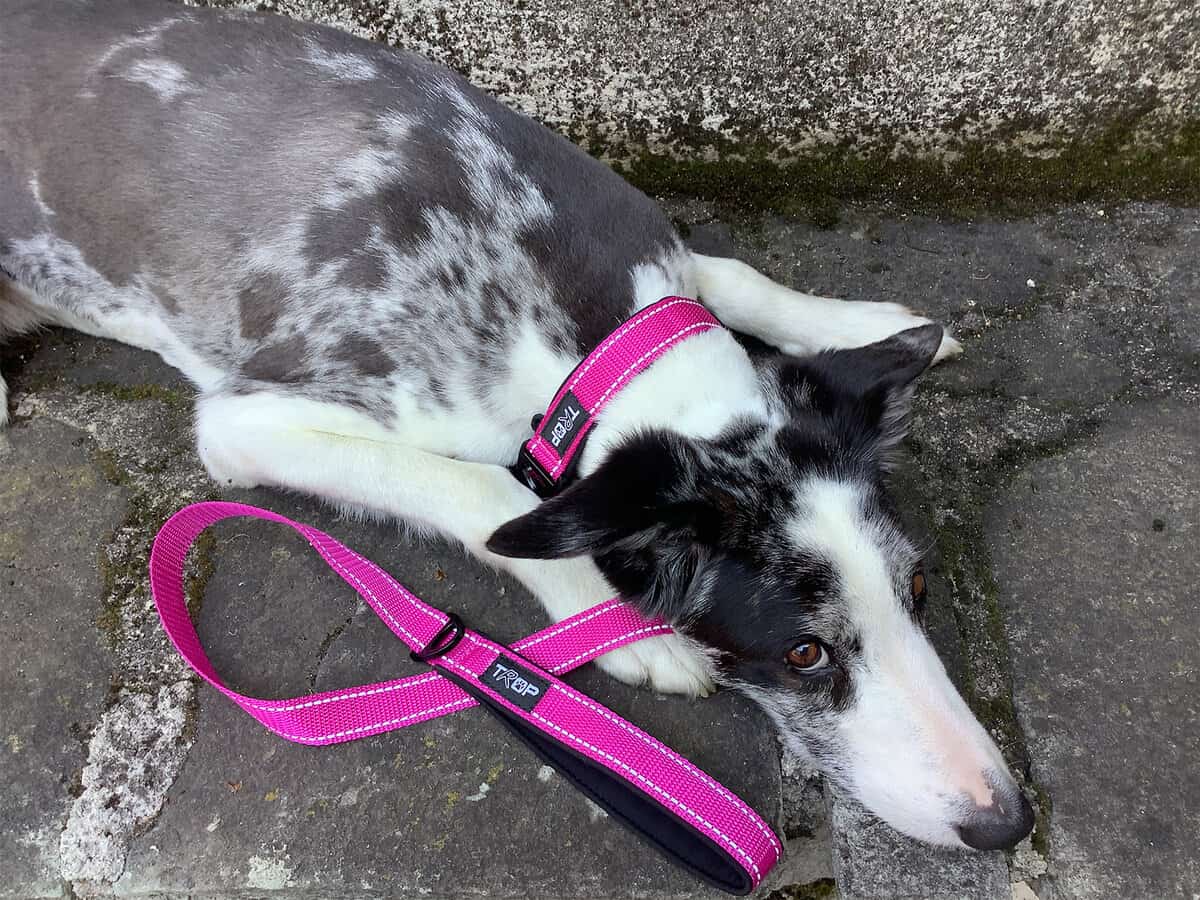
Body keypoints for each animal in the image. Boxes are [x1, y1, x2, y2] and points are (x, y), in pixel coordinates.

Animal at [0, 0, 1032, 854]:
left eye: (920, 589)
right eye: (805, 653)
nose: (1009, 822)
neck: (587, 344)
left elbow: (735, 278)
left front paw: (855, 322)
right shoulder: (246, 420)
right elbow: (485, 483)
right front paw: (618, 623)